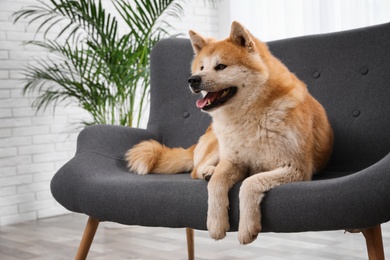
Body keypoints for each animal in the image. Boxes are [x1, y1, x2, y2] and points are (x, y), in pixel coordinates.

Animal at [125, 20, 332, 244]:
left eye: (221, 66)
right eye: (202, 67)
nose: (193, 79)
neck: (249, 117)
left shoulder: (296, 169)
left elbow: (249, 183)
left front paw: (247, 227)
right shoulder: (232, 161)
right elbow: (216, 184)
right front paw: (216, 223)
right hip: (218, 145)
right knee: (196, 170)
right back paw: (208, 171)